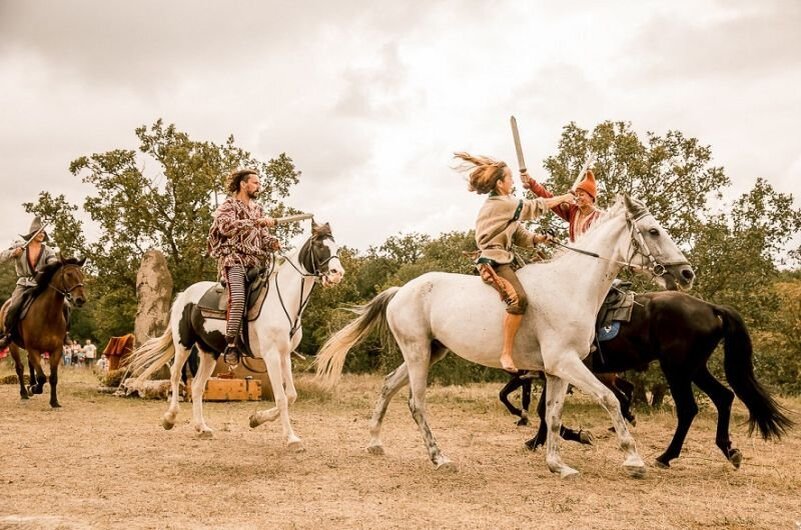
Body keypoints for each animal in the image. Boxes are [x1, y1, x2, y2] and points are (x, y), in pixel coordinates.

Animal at [1, 258, 86, 406]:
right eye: (69, 274)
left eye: (81, 275)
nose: (80, 299)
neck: (48, 315)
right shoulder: (33, 348)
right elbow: (41, 377)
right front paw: (34, 388)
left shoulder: (56, 350)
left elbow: (53, 377)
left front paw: (54, 401)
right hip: (13, 345)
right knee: (20, 367)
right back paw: (24, 393)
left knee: (30, 364)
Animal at [128, 221, 344, 448]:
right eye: (319, 246)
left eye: (336, 247)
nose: (337, 273)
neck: (284, 299)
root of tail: (184, 295)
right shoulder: (271, 355)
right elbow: (282, 398)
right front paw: (291, 438)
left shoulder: (285, 355)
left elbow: (291, 395)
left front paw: (256, 419)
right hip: (183, 344)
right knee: (175, 375)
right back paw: (169, 418)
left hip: (209, 353)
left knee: (196, 386)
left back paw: (202, 427)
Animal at [318, 196, 692, 476]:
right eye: (653, 231)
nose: (687, 273)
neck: (570, 286)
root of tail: (401, 290)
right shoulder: (567, 363)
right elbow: (608, 399)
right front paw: (633, 459)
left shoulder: (557, 370)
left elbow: (553, 414)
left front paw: (557, 464)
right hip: (418, 354)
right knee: (416, 402)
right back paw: (439, 458)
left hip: (429, 352)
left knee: (387, 386)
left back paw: (375, 443)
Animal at [506, 290, 788, 468]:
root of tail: (710, 308)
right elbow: (546, 410)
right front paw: (539, 441)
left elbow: (544, 410)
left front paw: (570, 436)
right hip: (695, 369)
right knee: (724, 397)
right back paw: (729, 450)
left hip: (677, 370)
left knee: (688, 408)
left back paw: (666, 456)